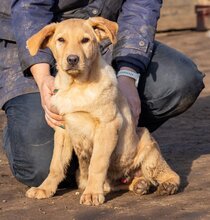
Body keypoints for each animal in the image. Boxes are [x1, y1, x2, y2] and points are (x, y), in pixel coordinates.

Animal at [25, 17, 180, 206]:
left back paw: (168, 185)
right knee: (124, 183)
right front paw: (45, 188)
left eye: (85, 40)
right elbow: (56, 164)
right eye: (61, 40)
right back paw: (140, 184)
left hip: (148, 146)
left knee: (168, 172)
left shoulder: (107, 126)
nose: (72, 59)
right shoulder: (62, 130)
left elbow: (97, 164)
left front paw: (92, 193)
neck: (76, 87)